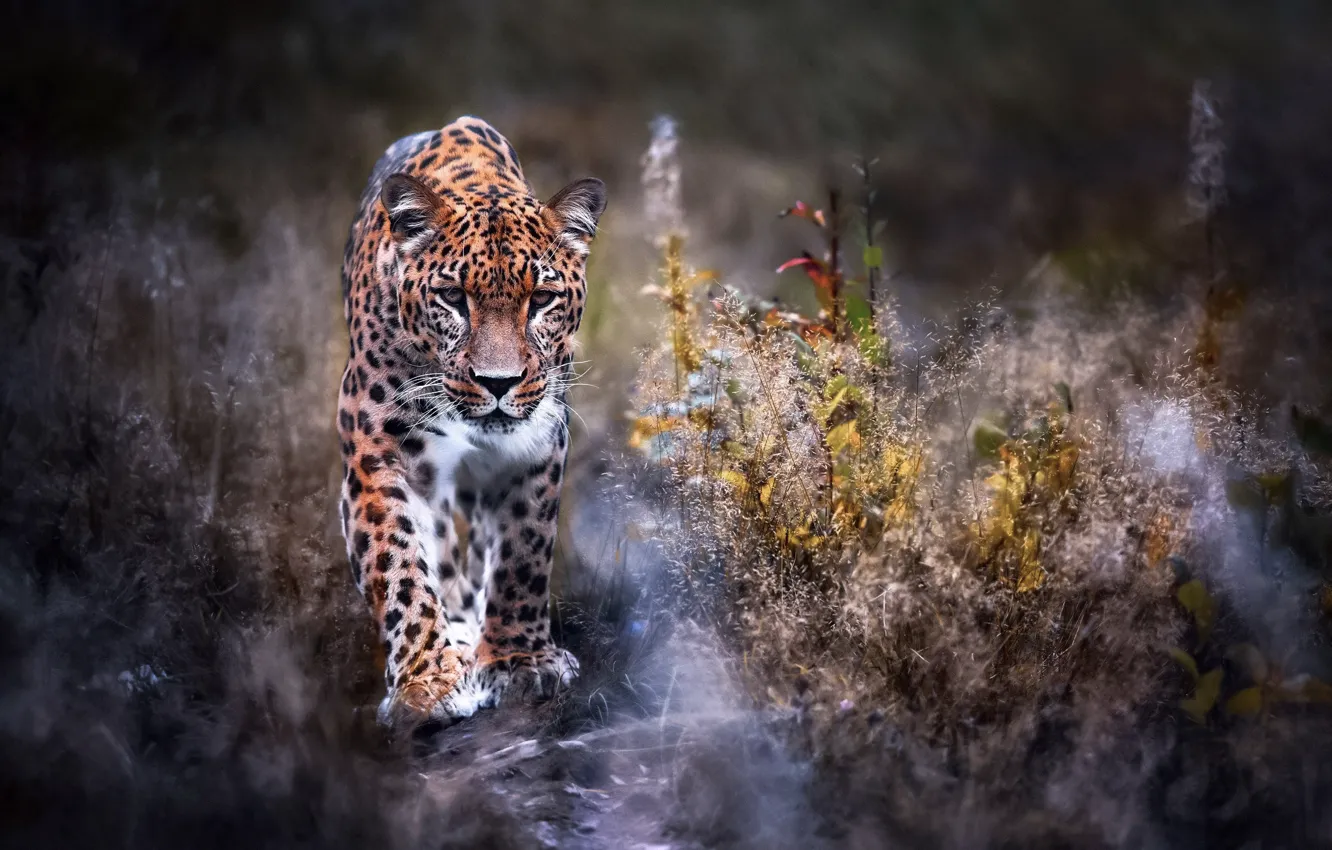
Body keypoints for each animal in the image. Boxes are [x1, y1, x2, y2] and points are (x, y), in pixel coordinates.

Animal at [336, 116, 606, 725]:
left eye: (542, 299)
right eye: (453, 297)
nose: (499, 382)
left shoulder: (537, 445)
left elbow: (523, 552)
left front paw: (518, 660)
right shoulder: (376, 453)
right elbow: (399, 566)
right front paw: (427, 681)